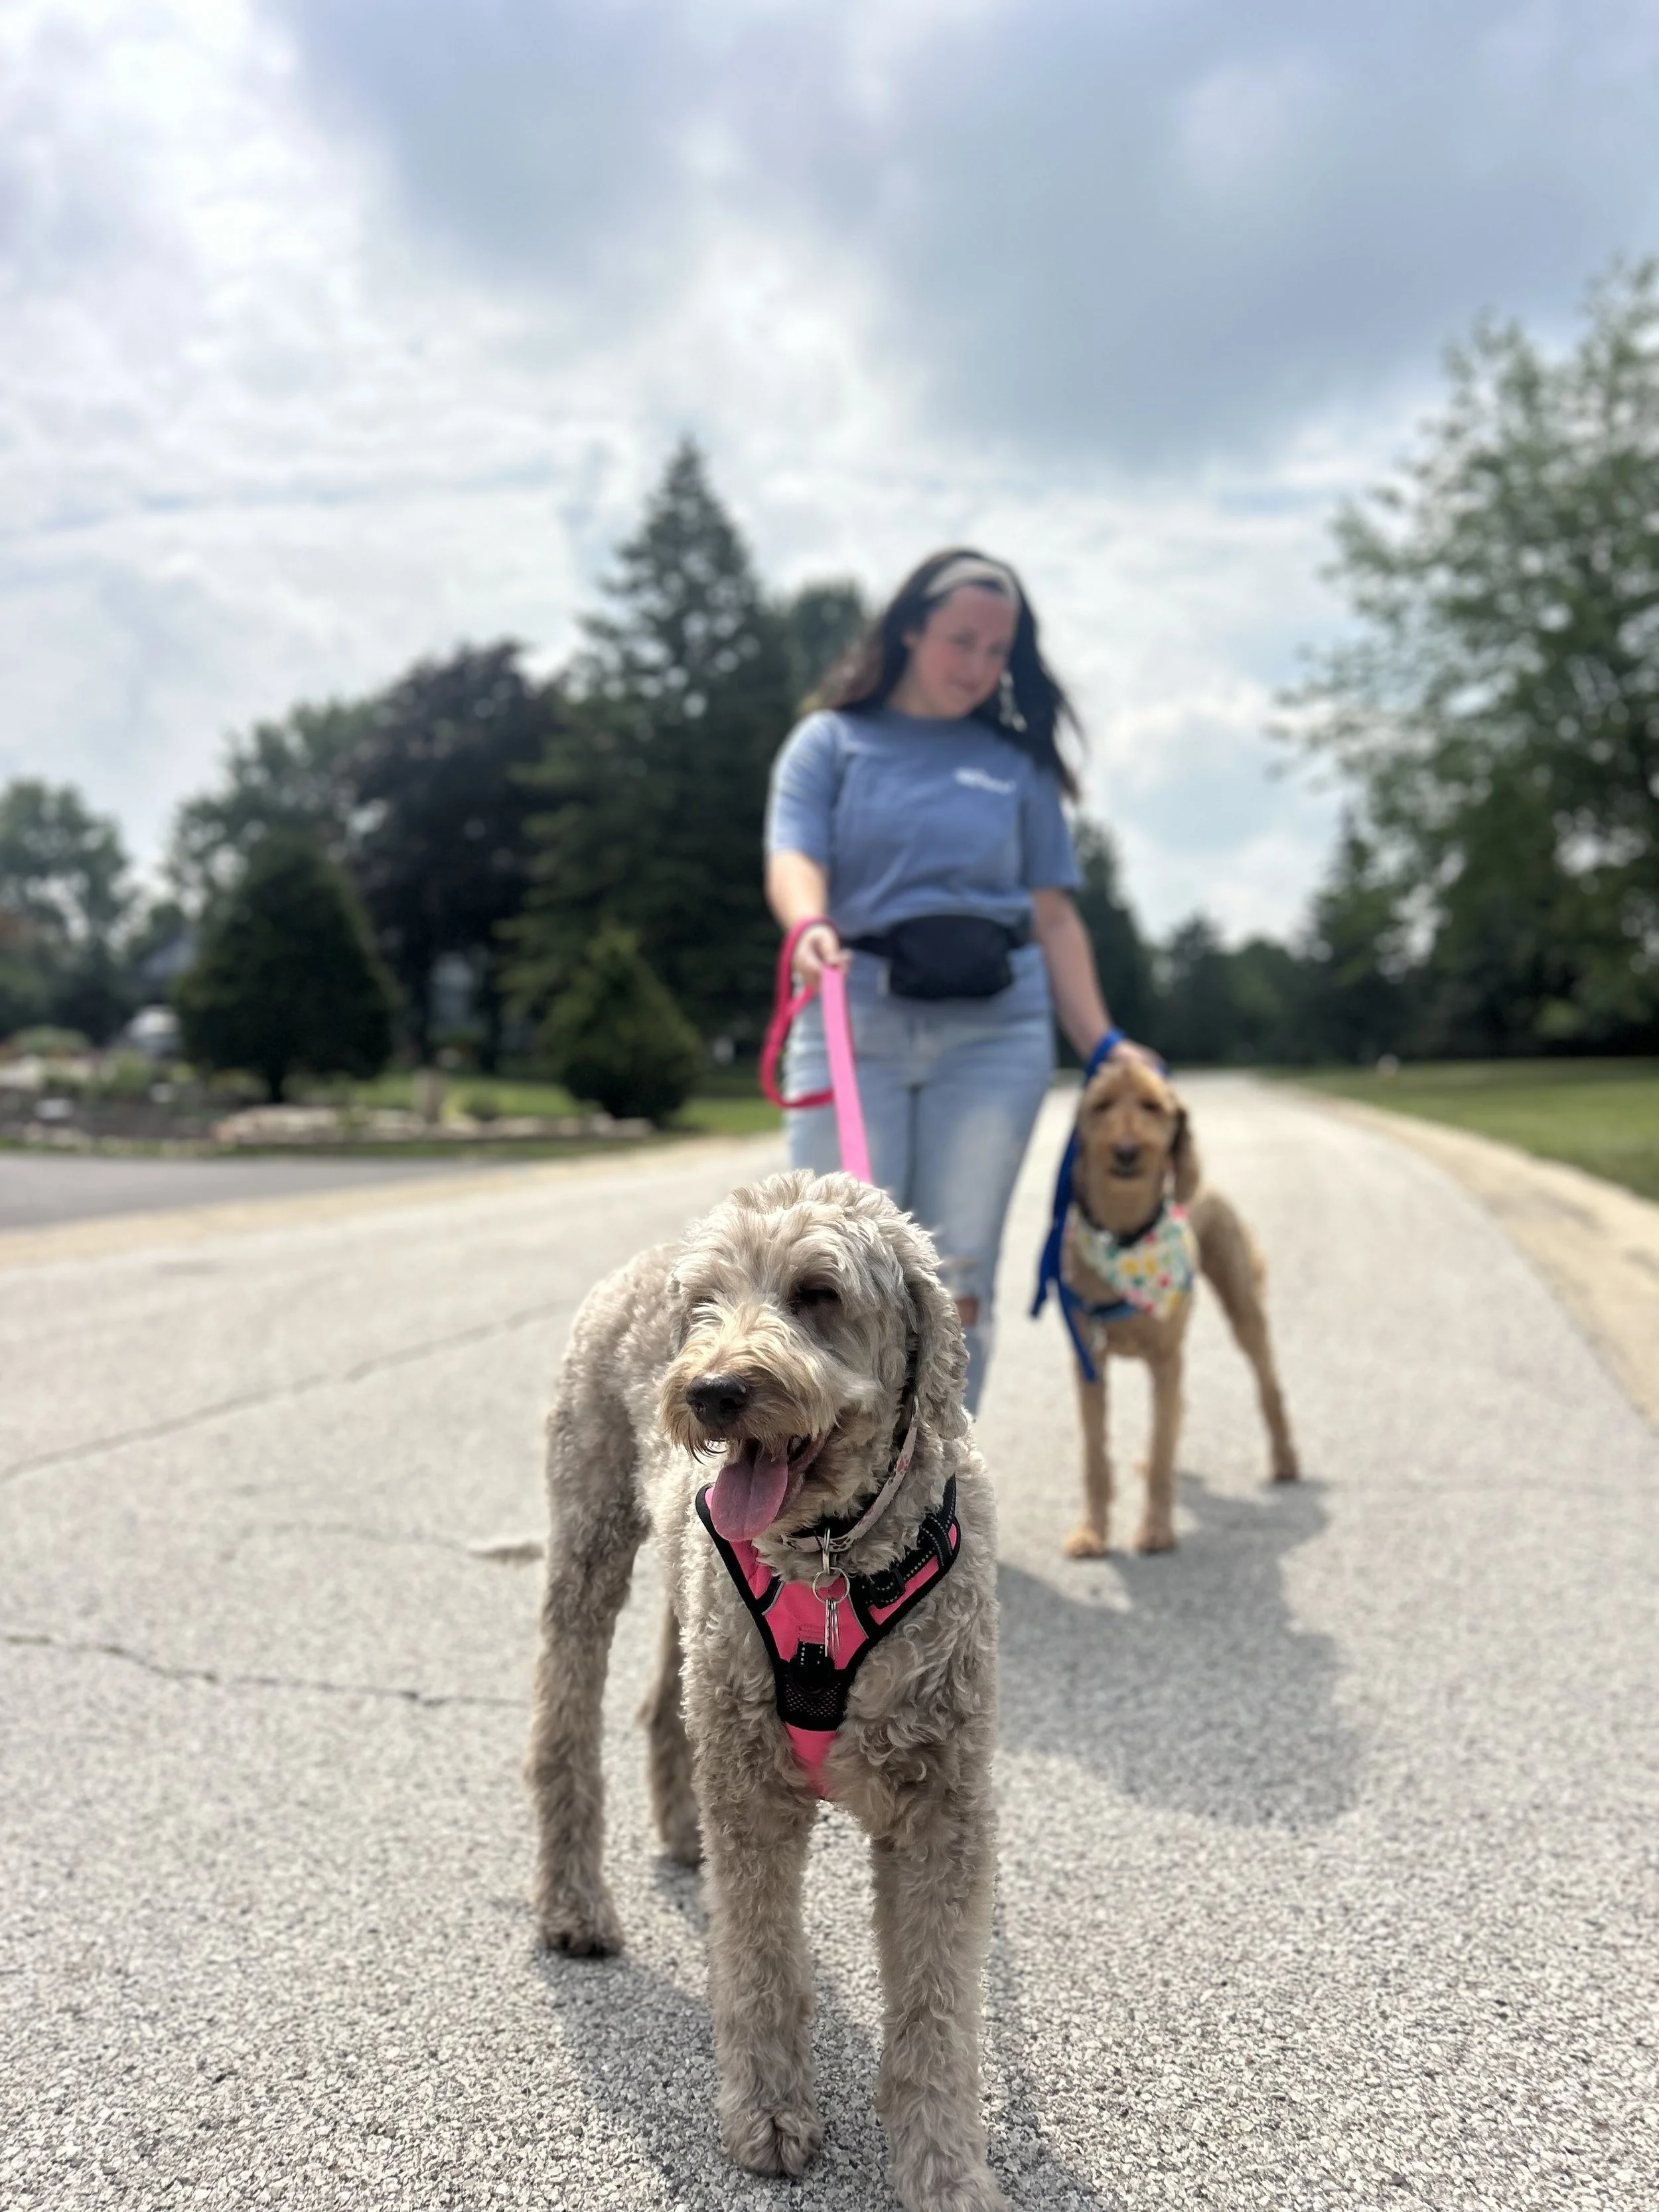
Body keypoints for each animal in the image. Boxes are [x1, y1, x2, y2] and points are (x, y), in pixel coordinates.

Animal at [526, 1169, 1007, 2212]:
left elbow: (938, 2007)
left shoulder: (942, 1804)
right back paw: (574, 1907)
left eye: (818, 1293)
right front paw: (773, 2117)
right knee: (562, 1727)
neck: (833, 1558)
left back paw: (678, 1835)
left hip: (696, 1610)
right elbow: (760, 1963)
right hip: (591, 1538)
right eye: (705, 1303)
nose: (711, 1391)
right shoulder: (754, 1793)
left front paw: (943, 2166)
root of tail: (641, 1258)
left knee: (663, 1708)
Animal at [1050, 1058, 1298, 1556]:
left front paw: (1156, 1529)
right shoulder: (1089, 1363)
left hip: (1244, 1310)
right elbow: (1095, 1456)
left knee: (1268, 1386)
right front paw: (1091, 1530)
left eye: (1152, 1106)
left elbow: (1164, 1448)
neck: (1125, 1236)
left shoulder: (1166, 1358)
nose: (1127, 1151)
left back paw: (1285, 1460)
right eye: (1102, 1105)